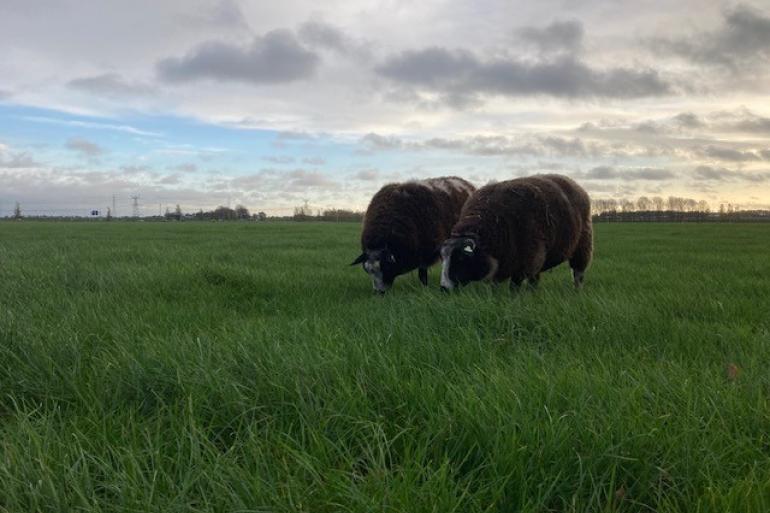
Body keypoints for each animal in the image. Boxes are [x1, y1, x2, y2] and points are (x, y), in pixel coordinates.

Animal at [438, 174, 588, 290]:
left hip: (582, 245)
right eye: (443, 257)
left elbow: (515, 285)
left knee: (578, 273)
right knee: (536, 276)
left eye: (461, 258)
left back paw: (576, 291)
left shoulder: (525, 259)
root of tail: (570, 180)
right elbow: (495, 285)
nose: (444, 288)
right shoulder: (506, 261)